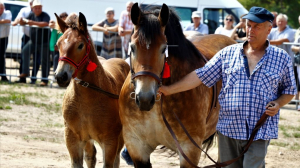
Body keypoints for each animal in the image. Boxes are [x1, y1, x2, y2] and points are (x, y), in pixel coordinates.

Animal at [54, 12, 129, 167]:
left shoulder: (110, 140)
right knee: (91, 156)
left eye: (80, 45)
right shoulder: (72, 138)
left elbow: (109, 162)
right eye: (58, 44)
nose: (60, 76)